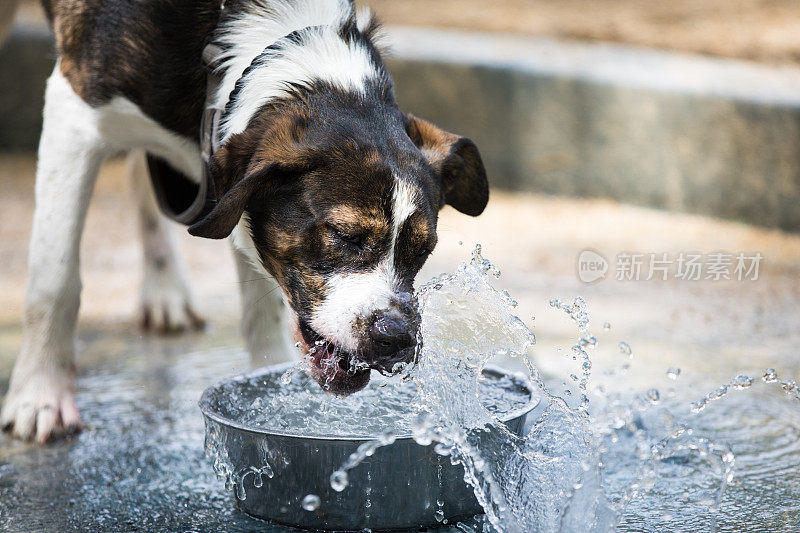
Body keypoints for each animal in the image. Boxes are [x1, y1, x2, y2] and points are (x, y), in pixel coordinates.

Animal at [0, 0, 488, 440]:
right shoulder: (75, 112)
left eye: (423, 250)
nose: (398, 339)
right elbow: (54, 282)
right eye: (345, 235)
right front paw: (39, 396)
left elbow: (262, 312)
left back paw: (164, 288)